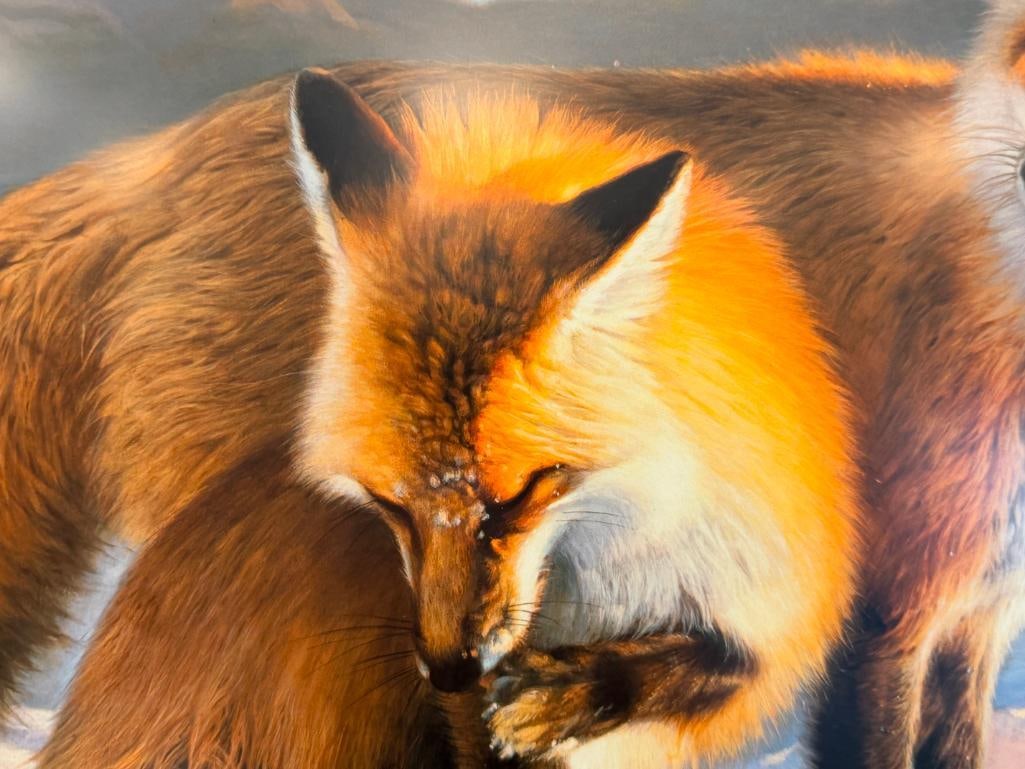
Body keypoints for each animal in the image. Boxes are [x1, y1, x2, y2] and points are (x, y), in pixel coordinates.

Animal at [0, 42, 1015, 769]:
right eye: (387, 504)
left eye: (526, 490)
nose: (450, 665)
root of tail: (157, 158)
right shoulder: (895, 602)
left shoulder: (885, 596)